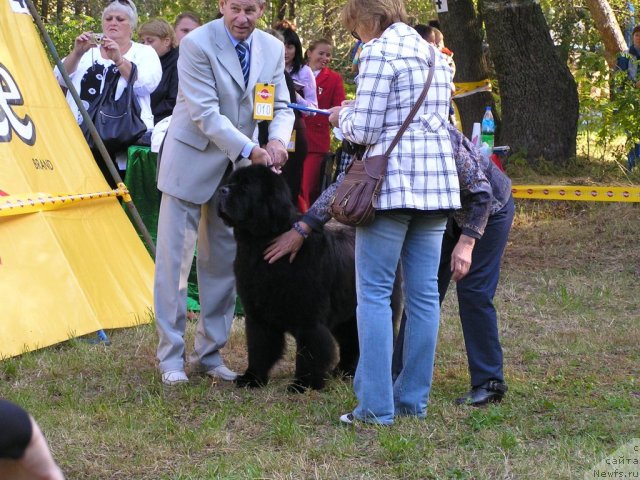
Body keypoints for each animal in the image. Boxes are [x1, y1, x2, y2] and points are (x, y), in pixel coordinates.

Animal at [216, 165, 376, 394]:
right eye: (231, 181)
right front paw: (252, 378)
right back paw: (343, 371)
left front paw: (303, 384)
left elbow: (310, 351)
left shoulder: (309, 318)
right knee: (351, 341)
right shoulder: (258, 314)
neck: (260, 243)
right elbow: (259, 347)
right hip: (345, 315)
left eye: (245, 186)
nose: (222, 190)